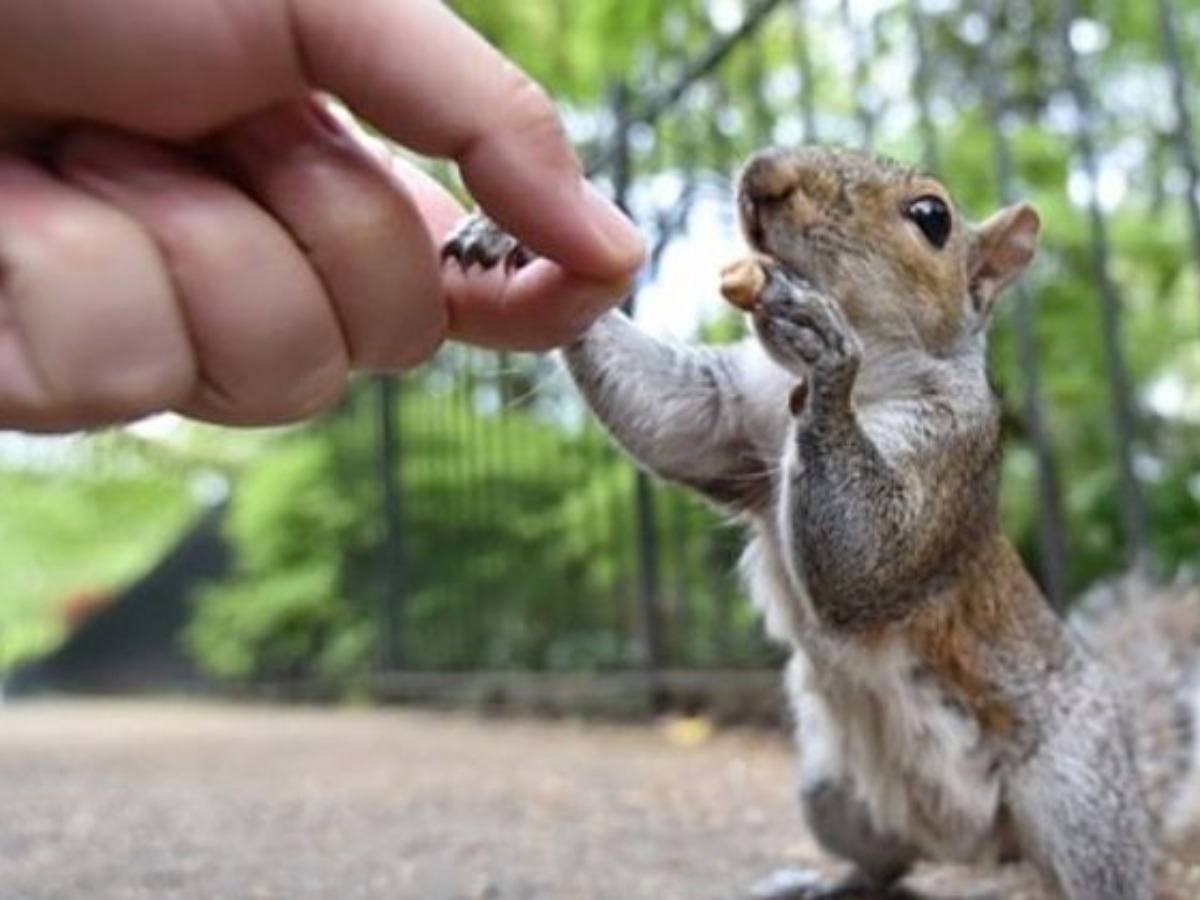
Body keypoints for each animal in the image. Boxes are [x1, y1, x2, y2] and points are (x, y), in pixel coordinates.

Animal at [443, 145, 1200, 899]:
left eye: (933, 216)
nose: (762, 175)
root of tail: (978, 846)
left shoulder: (951, 456)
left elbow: (871, 554)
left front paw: (825, 351)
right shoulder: (731, 414)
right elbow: (671, 414)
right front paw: (512, 235)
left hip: (1075, 799)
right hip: (833, 793)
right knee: (889, 864)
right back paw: (822, 882)